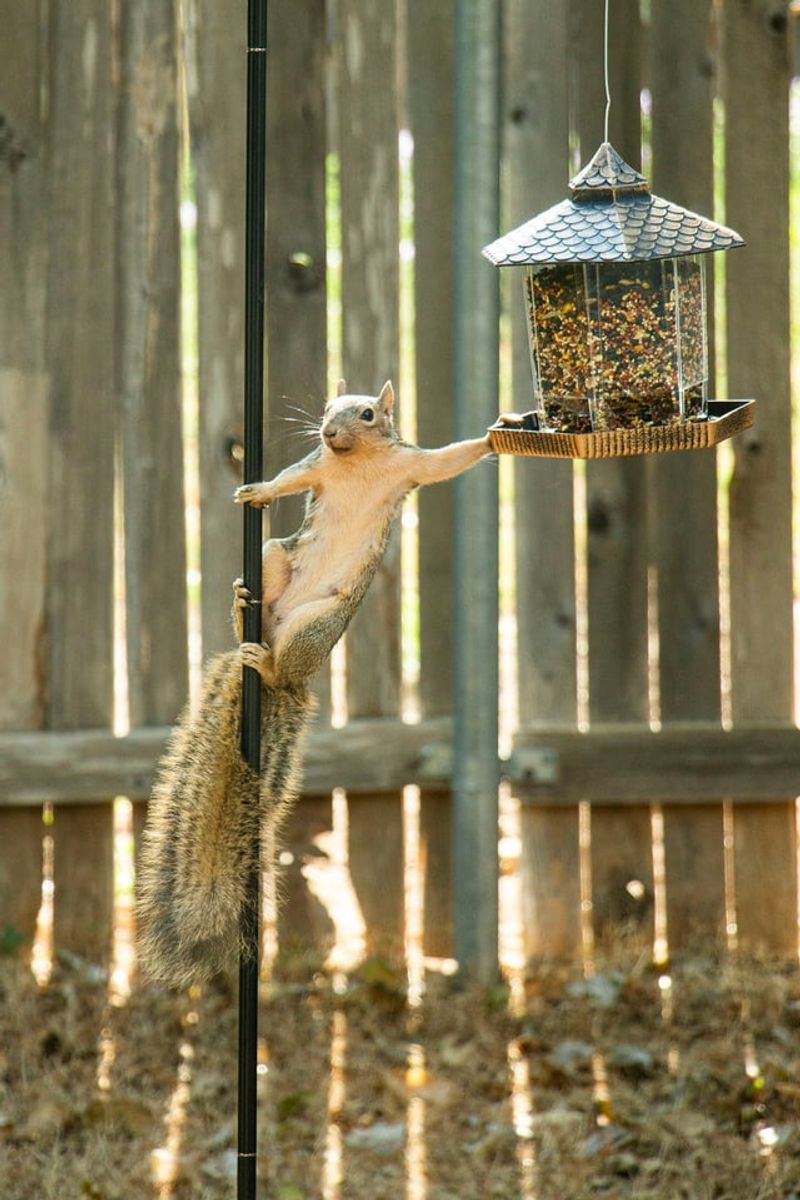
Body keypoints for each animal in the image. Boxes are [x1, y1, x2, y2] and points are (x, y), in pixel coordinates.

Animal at [135, 379, 492, 987]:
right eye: (327, 409)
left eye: (368, 413)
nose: (327, 430)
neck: (355, 460)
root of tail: (279, 655)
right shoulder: (317, 469)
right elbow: (290, 478)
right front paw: (256, 490)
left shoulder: (411, 466)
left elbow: (451, 459)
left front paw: (495, 437)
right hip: (273, 559)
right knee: (261, 589)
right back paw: (242, 608)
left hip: (317, 625)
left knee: (284, 660)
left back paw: (268, 664)